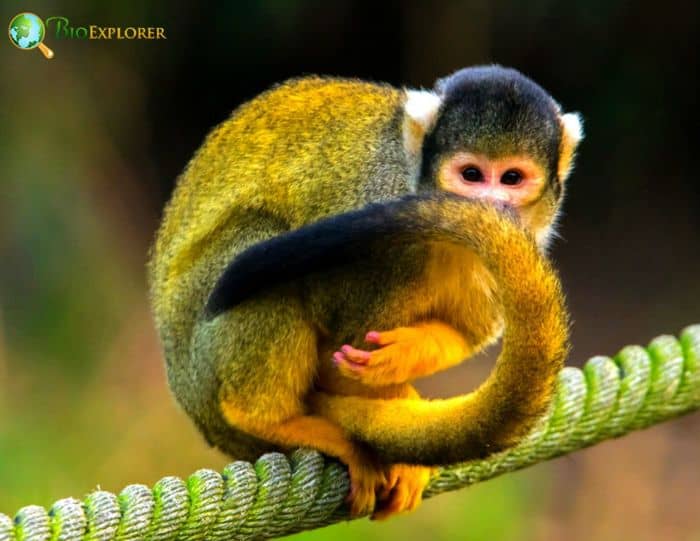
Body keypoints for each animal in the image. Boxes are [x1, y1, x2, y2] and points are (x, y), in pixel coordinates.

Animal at [148, 65, 583, 519]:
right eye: (471, 175)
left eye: (511, 178)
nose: (491, 205)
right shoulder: (379, 203)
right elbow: (336, 329)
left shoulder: (526, 233)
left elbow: (463, 332)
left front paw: (401, 357)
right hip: (200, 357)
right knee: (259, 245)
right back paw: (263, 417)